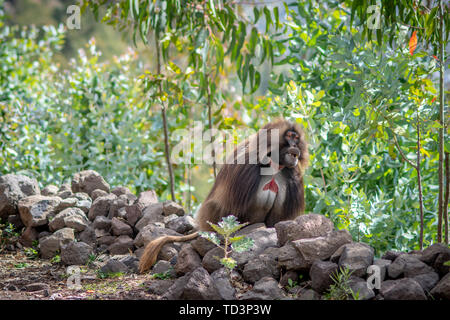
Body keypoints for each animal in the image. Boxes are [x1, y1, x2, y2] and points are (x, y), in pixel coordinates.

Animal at [140, 117, 310, 272]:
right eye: (290, 136)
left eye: (296, 138)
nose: (295, 146)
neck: (273, 164)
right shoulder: (246, 165)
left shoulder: (293, 175)